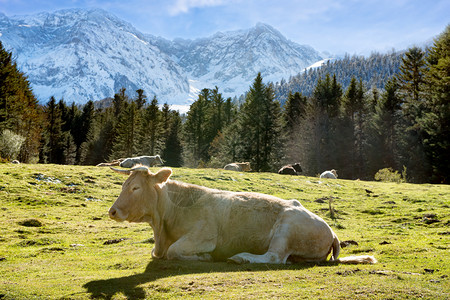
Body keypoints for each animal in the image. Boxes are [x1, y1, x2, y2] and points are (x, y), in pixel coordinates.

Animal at [108, 166, 376, 264]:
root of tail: (332, 232)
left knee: (274, 257)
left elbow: (175, 251)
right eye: (124, 185)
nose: (112, 211)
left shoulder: (204, 236)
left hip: (287, 227)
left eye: (135, 188)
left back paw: (241, 258)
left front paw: (205, 257)